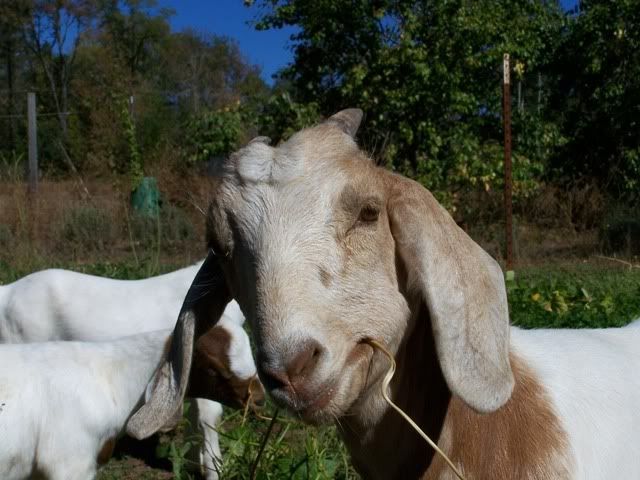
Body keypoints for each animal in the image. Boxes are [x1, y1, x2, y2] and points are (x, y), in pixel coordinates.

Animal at [0, 265, 264, 480]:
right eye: (215, 368)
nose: (259, 399)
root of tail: (7, 291)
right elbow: (209, 417)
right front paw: (213, 470)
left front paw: (192, 464)